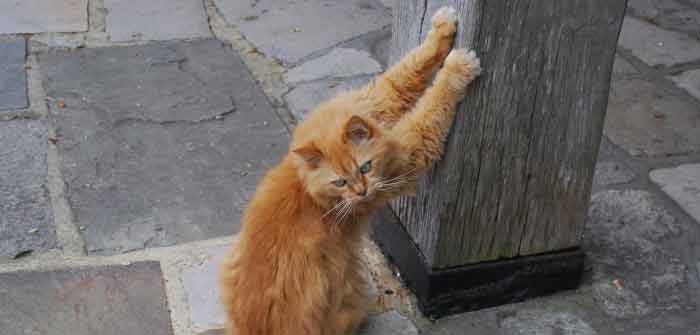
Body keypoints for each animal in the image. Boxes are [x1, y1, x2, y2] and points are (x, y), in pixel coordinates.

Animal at [221, 7, 478, 335]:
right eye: (340, 182)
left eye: (365, 167)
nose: (362, 192)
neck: (305, 185)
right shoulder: (409, 151)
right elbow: (432, 105)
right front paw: (459, 67)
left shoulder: (375, 99)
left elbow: (406, 72)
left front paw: (443, 29)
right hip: (349, 290)